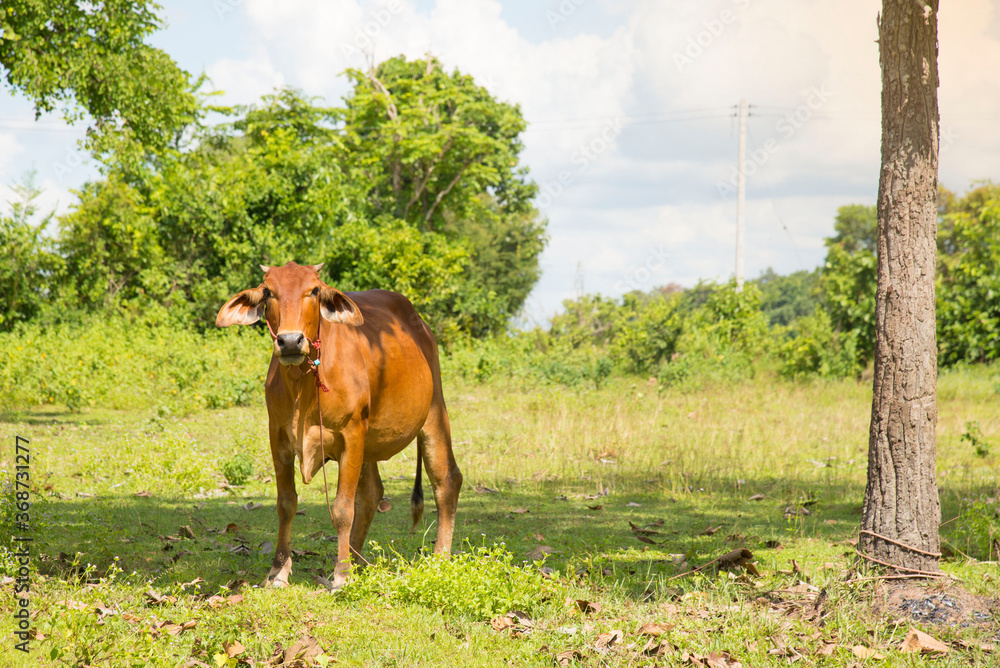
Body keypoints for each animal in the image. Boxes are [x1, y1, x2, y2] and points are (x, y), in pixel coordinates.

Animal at [215, 261, 462, 590]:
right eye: (268, 292)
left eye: (314, 290)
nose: (290, 341)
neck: (303, 386)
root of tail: (421, 326)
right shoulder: (278, 438)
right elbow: (286, 503)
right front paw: (278, 571)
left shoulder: (351, 434)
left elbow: (343, 509)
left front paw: (341, 575)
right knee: (372, 492)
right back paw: (356, 559)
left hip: (434, 413)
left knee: (446, 480)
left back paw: (438, 558)